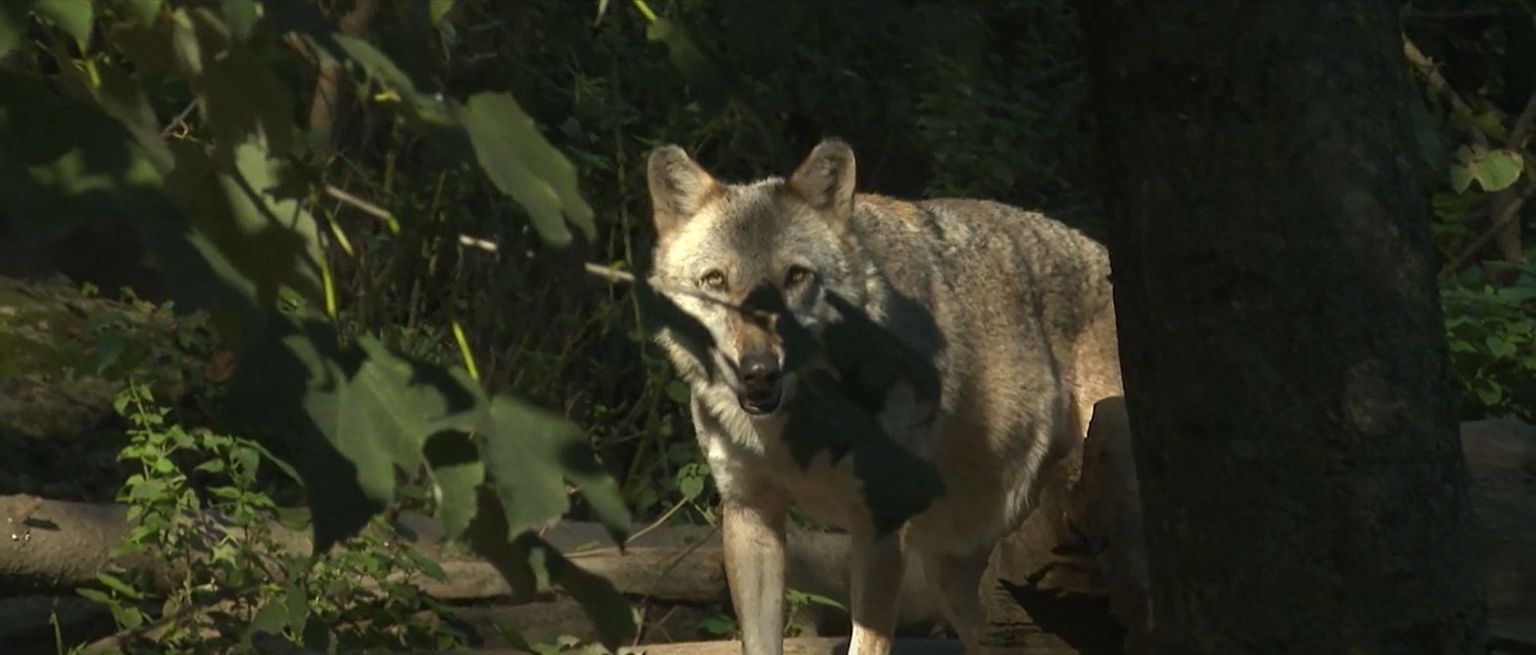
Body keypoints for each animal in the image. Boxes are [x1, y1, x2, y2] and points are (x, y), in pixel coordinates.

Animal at [644, 139, 1121, 655]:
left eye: (795, 277)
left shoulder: (880, 524)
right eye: (715, 280)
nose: (758, 371)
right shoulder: (750, 513)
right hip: (956, 575)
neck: (800, 428)